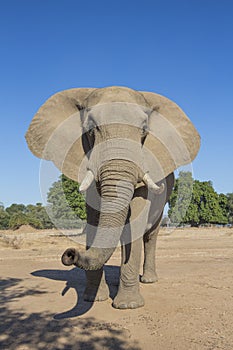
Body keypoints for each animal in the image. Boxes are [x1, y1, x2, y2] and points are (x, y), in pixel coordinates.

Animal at [25, 86, 200, 308]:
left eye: (144, 130)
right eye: (91, 129)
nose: (70, 253)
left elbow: (135, 222)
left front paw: (128, 305)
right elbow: (94, 221)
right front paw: (95, 298)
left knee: (150, 236)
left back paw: (149, 280)